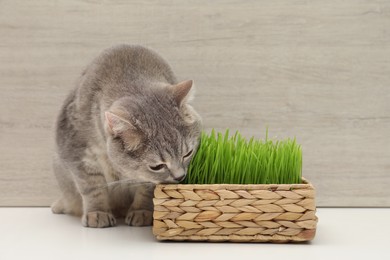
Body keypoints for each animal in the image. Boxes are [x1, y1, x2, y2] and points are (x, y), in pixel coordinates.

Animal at [51, 44, 201, 228]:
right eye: (157, 166)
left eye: (188, 154)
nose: (180, 176)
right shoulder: (77, 153)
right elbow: (92, 187)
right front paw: (97, 213)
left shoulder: (148, 181)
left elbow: (146, 190)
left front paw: (142, 212)